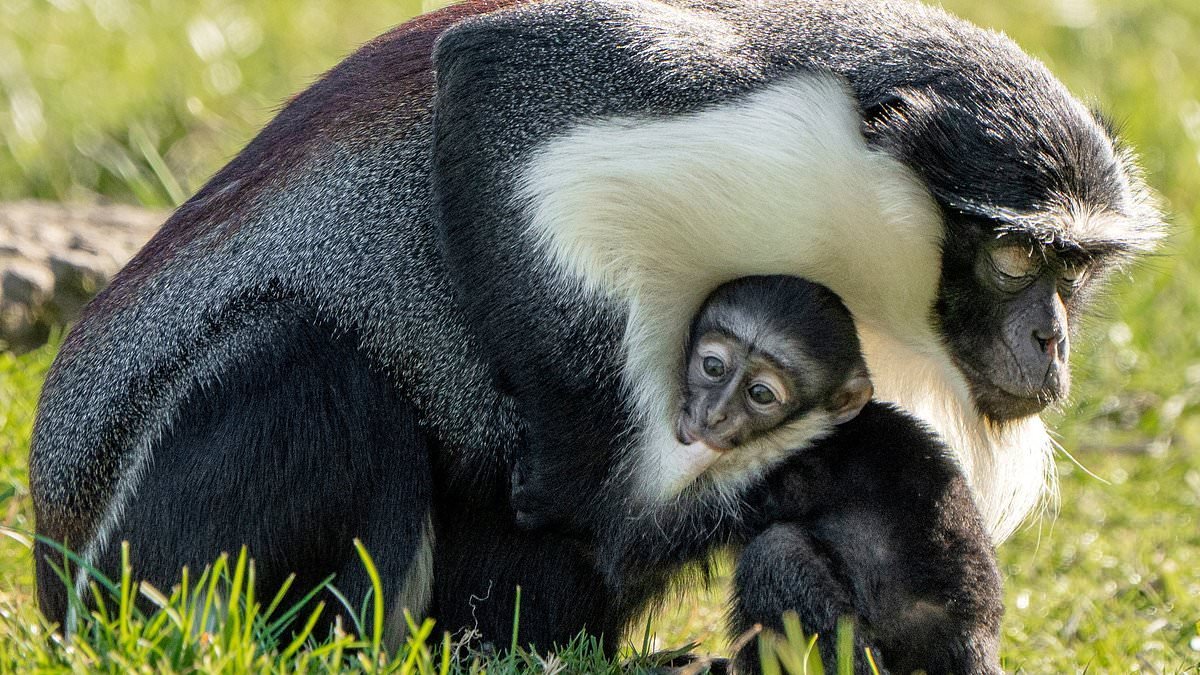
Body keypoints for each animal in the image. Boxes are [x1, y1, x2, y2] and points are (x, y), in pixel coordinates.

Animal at [30, 0, 1161, 658]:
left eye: (1075, 272)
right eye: (1014, 258)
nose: (1051, 342)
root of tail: (55, 558)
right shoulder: (725, 106)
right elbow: (490, 74)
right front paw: (596, 492)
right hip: (149, 565)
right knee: (311, 362)